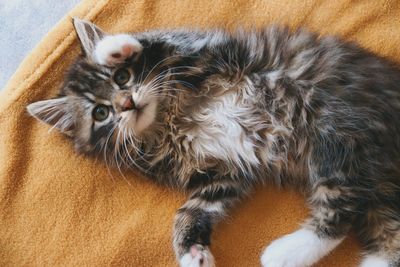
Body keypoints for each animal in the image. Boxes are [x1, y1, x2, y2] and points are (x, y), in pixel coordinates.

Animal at [27, 17, 400, 266]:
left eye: (122, 78)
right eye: (101, 113)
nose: (127, 104)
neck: (166, 119)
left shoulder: (200, 53)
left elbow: (154, 40)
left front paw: (112, 48)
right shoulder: (221, 174)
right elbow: (188, 212)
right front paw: (192, 253)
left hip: (337, 134)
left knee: (340, 212)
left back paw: (282, 253)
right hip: (364, 170)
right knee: (378, 230)